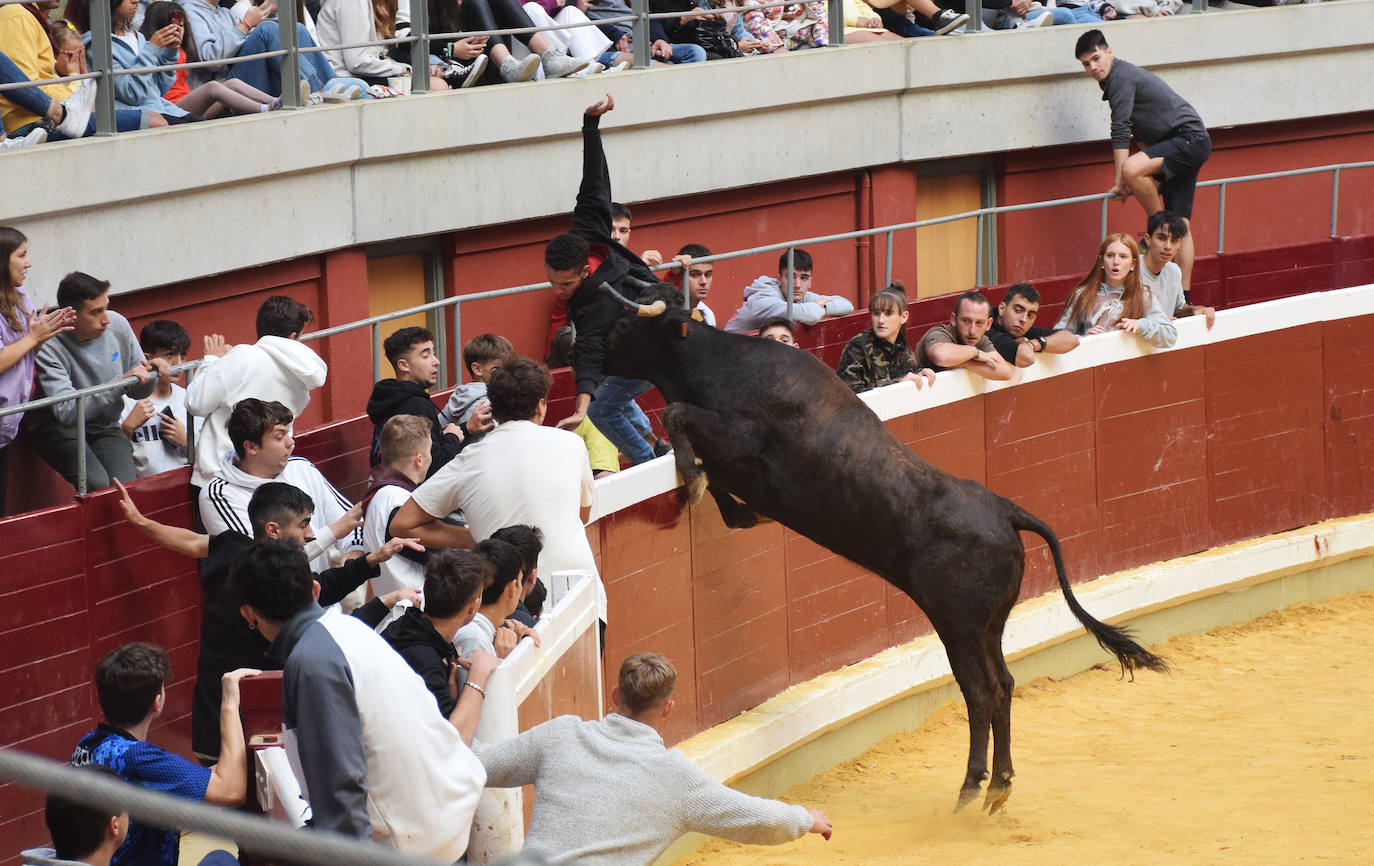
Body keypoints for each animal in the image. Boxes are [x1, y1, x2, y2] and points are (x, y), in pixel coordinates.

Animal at [604, 283, 1170, 813]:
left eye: (628, 324)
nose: (595, 358)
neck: (721, 364)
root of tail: (1007, 510)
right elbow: (712, 469)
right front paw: (722, 497)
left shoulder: (740, 442)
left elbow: (680, 415)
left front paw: (695, 478)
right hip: (988, 626)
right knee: (1005, 685)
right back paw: (999, 786)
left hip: (958, 625)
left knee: (982, 691)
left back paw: (972, 786)